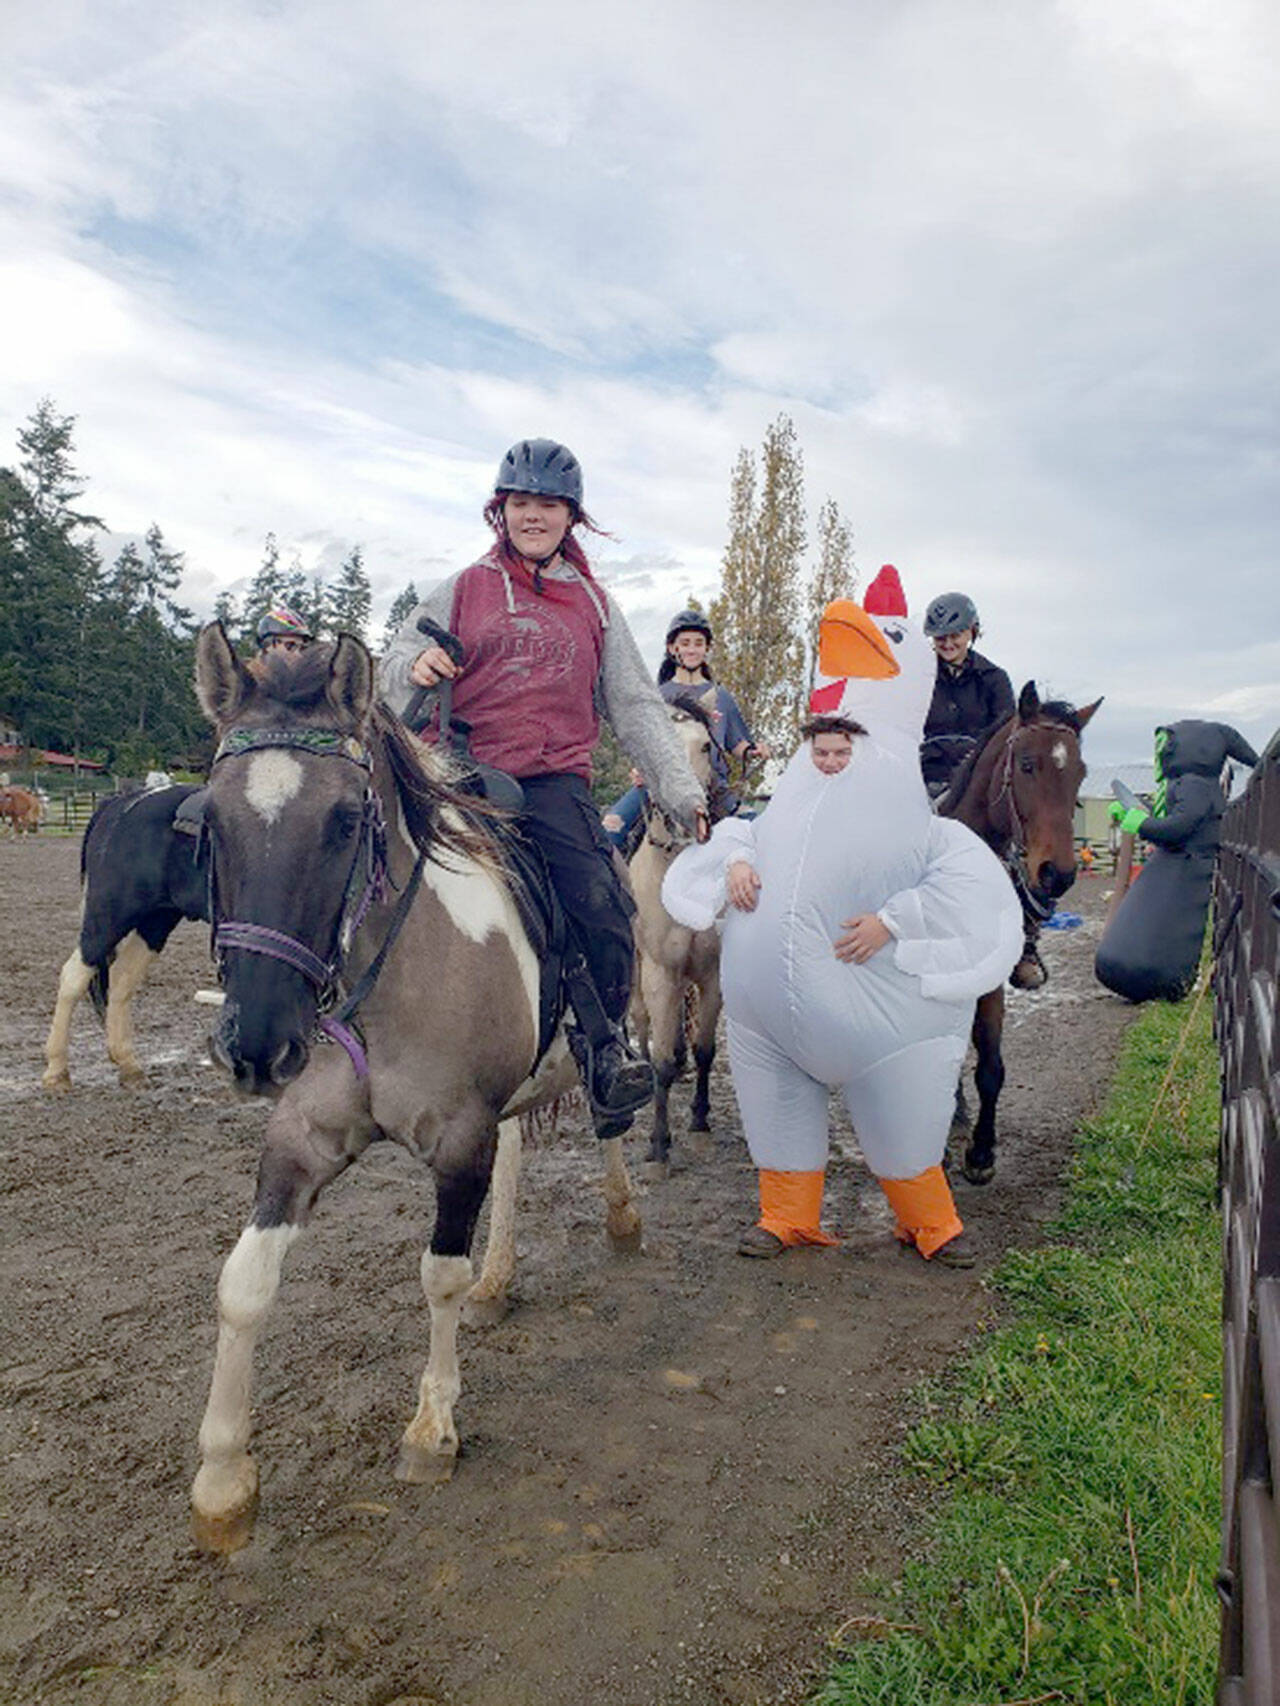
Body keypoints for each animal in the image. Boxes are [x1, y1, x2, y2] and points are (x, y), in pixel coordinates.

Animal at [186, 631, 641, 1562]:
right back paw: (502, 1276)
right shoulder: (300, 1137)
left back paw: (620, 1216)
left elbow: (439, 1277)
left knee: (612, 1122)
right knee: (518, 1161)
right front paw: (222, 1482)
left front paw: (432, 1430)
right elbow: (242, 1282)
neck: (389, 974)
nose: (257, 1045)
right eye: (210, 821)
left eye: (345, 820)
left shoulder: (459, 1140)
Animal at [935, 672, 1105, 1180]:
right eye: (1027, 765)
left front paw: (980, 1153)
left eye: (1080, 773)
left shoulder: (986, 980)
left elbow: (990, 1067)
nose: (1058, 874)